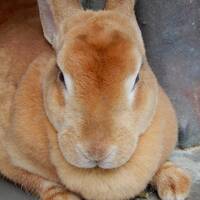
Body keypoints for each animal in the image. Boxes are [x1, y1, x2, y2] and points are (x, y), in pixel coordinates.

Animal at [0, 0, 191, 199]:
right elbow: (38, 181)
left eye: (137, 77)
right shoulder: (8, 158)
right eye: (61, 76)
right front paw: (65, 197)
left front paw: (176, 184)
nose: (96, 151)